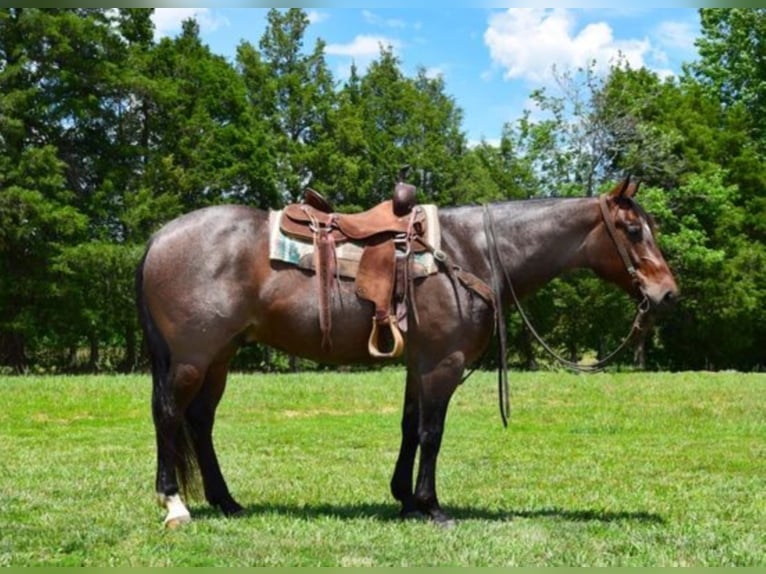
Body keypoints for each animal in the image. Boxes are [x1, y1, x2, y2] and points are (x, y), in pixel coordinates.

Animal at [136, 178, 680, 528]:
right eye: (634, 231)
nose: (668, 294)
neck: (471, 251)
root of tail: (160, 237)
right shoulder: (443, 363)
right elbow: (431, 434)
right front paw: (431, 506)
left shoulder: (420, 363)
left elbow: (408, 427)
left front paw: (404, 500)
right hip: (192, 358)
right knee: (168, 416)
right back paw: (175, 505)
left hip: (220, 357)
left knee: (200, 421)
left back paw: (227, 502)